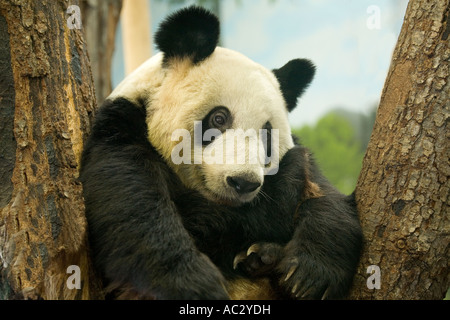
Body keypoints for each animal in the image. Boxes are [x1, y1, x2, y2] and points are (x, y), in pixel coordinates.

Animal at [80, 5, 362, 300]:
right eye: (219, 118)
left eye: (267, 133)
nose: (243, 182)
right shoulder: (122, 132)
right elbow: (139, 211)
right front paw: (194, 285)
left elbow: (326, 198)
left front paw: (309, 275)